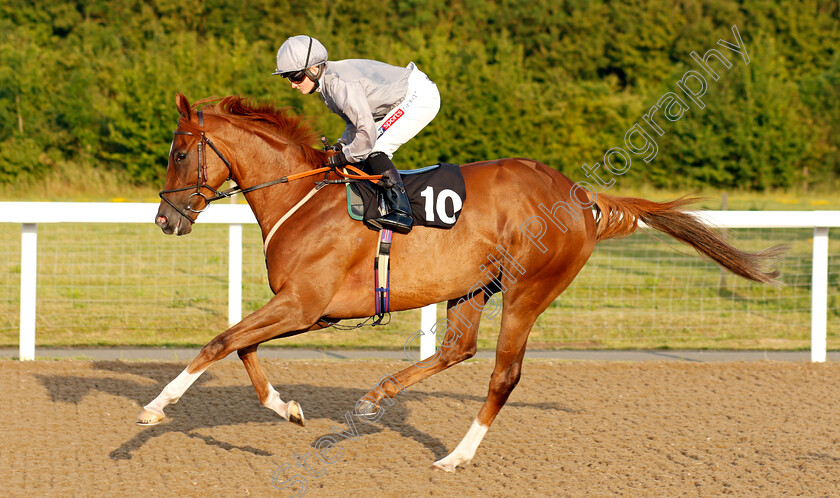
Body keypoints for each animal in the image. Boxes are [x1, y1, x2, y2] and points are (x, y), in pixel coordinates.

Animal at [143, 93, 780, 470]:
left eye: (179, 153)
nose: (165, 220)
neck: (303, 198)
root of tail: (582, 197)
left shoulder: (303, 304)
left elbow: (220, 341)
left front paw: (154, 408)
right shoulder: (310, 310)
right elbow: (242, 345)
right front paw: (287, 408)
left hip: (528, 290)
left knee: (503, 374)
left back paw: (456, 455)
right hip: (473, 287)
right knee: (458, 348)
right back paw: (378, 397)